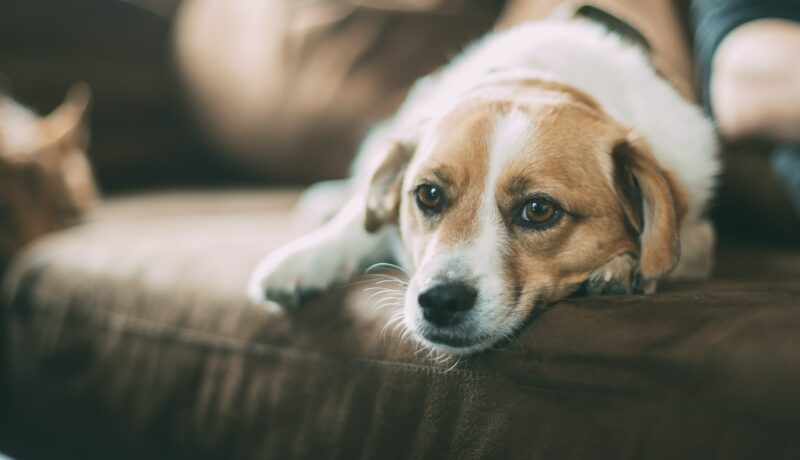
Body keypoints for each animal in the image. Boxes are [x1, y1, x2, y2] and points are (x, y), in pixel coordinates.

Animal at [245, 14, 720, 354]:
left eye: (539, 210)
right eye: (428, 194)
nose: (440, 301)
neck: (540, 79)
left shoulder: (697, 231)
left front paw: (623, 266)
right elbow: (357, 222)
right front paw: (306, 257)